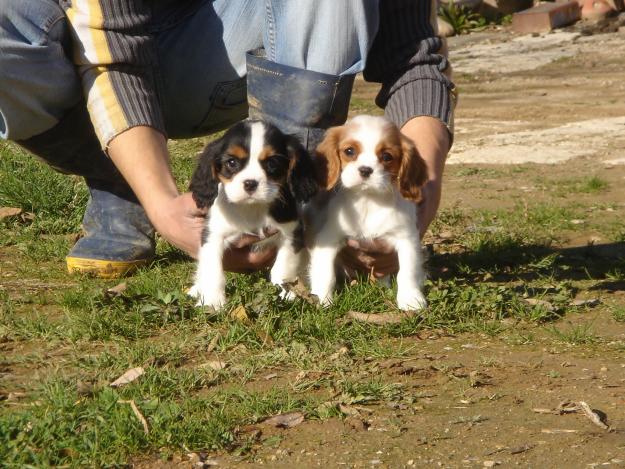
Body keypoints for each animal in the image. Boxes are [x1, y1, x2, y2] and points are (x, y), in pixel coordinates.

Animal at [188, 118, 316, 308]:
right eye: (232, 163)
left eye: (272, 163)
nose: (250, 183)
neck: (252, 208)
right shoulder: (213, 235)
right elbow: (213, 270)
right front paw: (212, 302)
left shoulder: (291, 233)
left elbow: (282, 267)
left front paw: (284, 293)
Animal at [308, 114, 426, 308]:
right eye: (349, 151)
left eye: (386, 156)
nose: (365, 170)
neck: (368, 200)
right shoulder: (328, 238)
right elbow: (325, 272)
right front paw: (322, 298)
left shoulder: (407, 239)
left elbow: (408, 272)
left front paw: (411, 299)